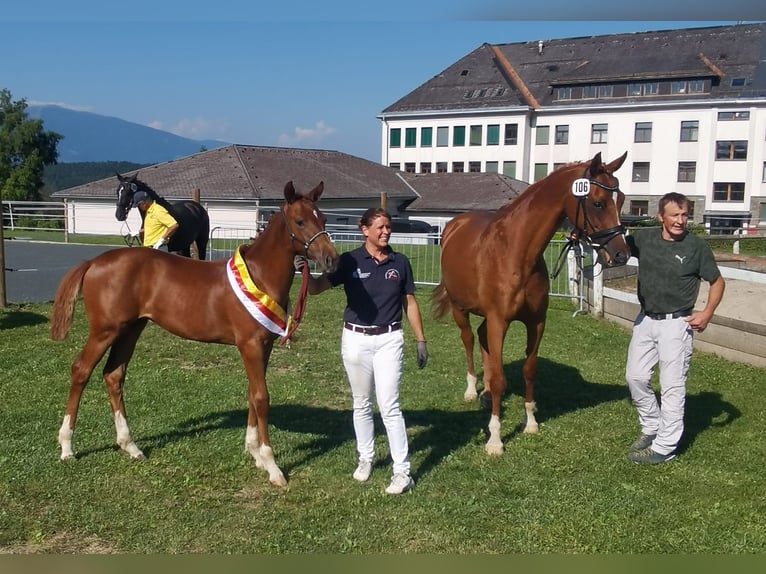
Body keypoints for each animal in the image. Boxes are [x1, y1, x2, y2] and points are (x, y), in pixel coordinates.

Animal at [52, 181, 340, 486]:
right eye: (300, 221)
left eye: (323, 218)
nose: (331, 259)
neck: (259, 276)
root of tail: (93, 262)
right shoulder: (250, 345)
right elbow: (262, 398)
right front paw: (272, 466)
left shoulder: (264, 347)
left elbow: (253, 393)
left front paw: (254, 454)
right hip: (105, 330)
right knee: (81, 370)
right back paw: (67, 447)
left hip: (131, 329)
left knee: (114, 375)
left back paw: (130, 445)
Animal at [436, 154, 632, 460]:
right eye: (598, 202)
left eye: (621, 199)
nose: (621, 254)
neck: (516, 252)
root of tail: (455, 224)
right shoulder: (499, 320)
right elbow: (501, 379)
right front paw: (495, 440)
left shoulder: (536, 322)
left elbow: (529, 371)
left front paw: (530, 422)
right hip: (460, 309)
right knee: (469, 340)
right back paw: (472, 390)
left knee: (482, 340)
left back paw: (485, 394)